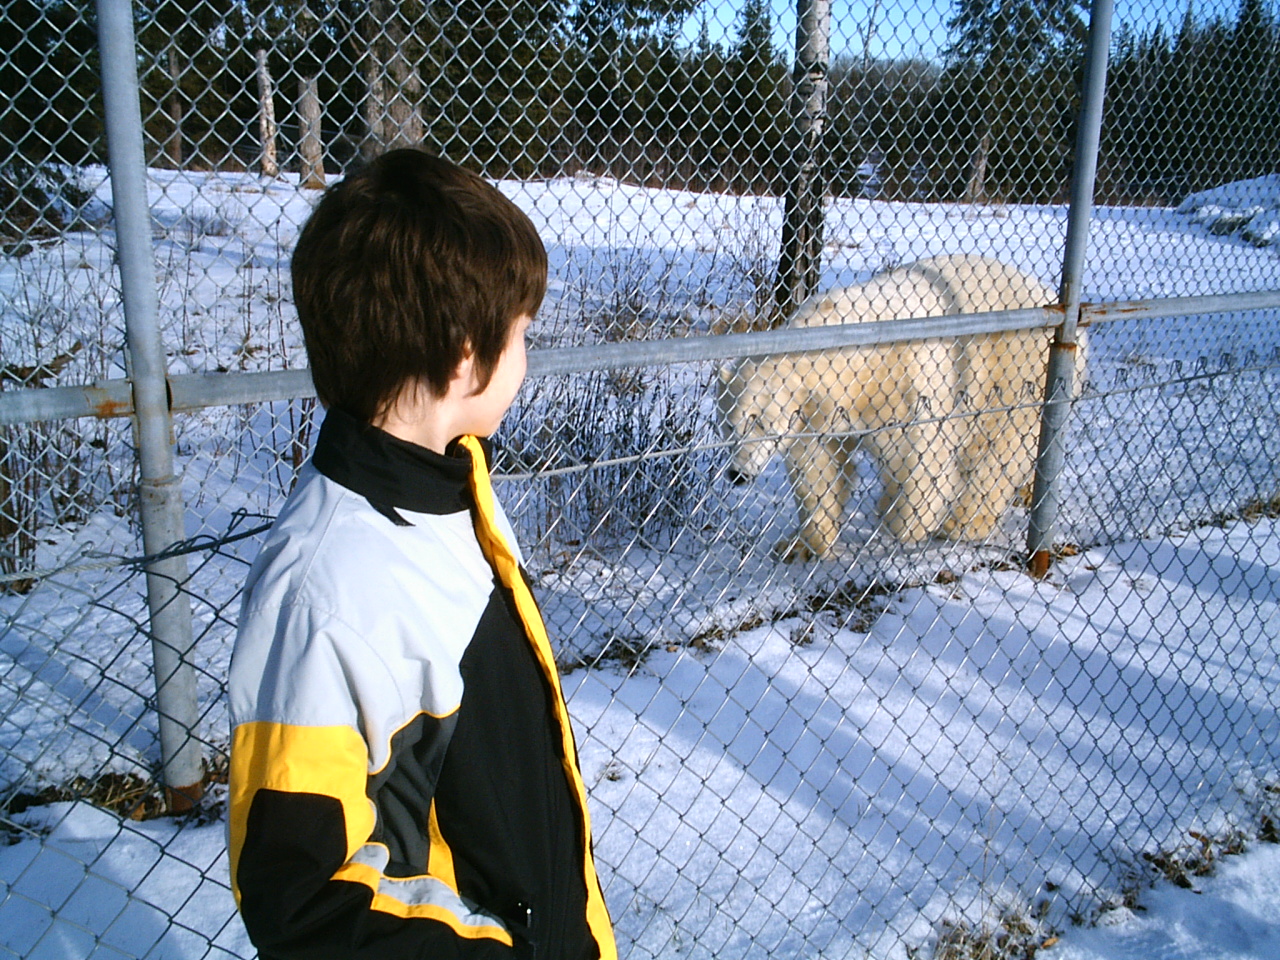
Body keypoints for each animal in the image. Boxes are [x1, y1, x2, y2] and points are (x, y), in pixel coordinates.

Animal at [717, 254, 1088, 560]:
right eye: (729, 425)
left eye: (761, 423)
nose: (738, 474)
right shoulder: (816, 417)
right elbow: (818, 468)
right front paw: (803, 545)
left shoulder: (907, 384)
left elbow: (919, 455)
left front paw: (906, 523)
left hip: (1018, 369)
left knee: (1001, 448)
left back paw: (963, 522)